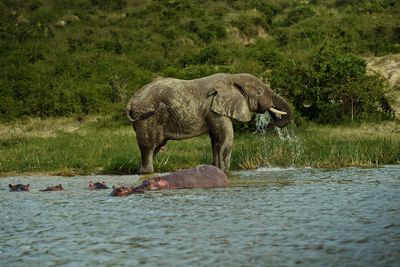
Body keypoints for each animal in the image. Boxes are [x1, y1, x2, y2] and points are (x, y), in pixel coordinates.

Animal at [126, 73, 292, 174]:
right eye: (259, 92)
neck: (231, 78)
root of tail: (130, 102)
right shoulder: (215, 109)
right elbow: (227, 138)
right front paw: (224, 172)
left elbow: (216, 140)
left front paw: (216, 170)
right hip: (147, 118)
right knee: (149, 147)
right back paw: (147, 172)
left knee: (156, 146)